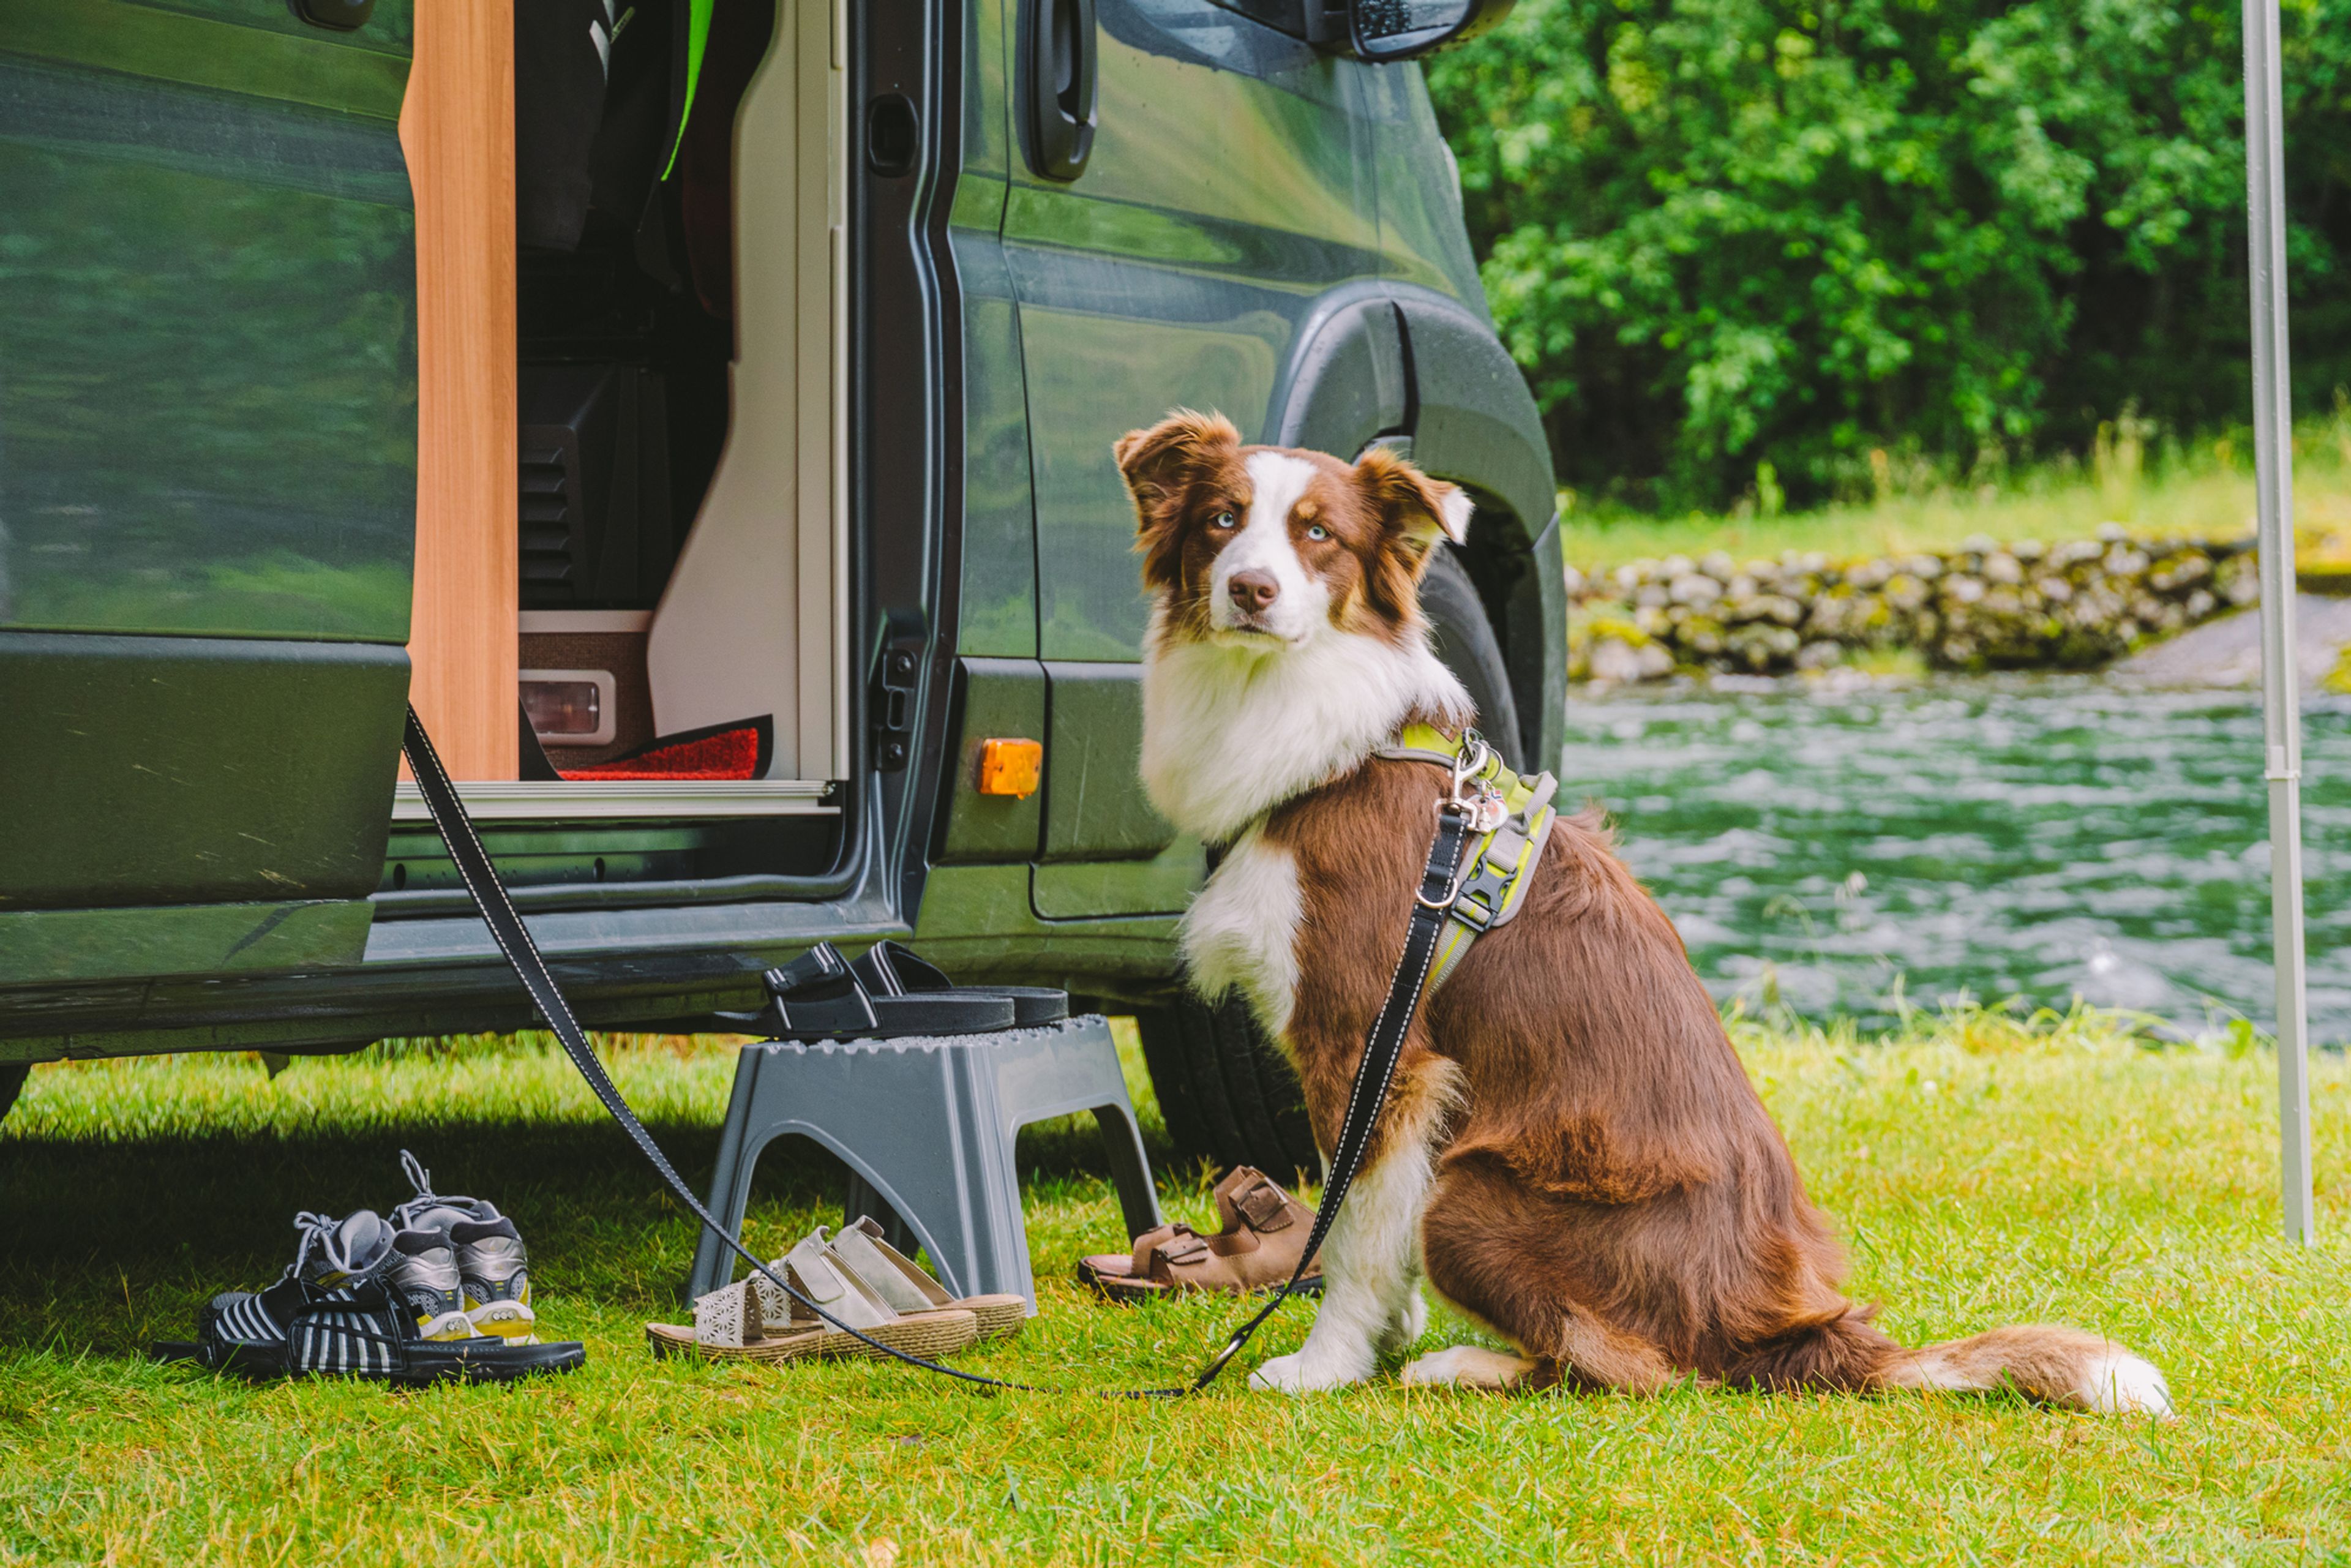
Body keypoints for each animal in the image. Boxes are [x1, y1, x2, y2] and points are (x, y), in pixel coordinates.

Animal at [1119, 411, 2162, 1420]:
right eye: (1222, 520)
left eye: (1319, 534)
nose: (1251, 589)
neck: (1321, 733)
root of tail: (1782, 1331)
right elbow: (1366, 1225)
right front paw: (1386, 1334)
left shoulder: (1372, 1043)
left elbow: (1350, 1234)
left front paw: (1327, 1364)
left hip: (1471, 1188)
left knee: (1640, 1369)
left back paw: (1467, 1364)